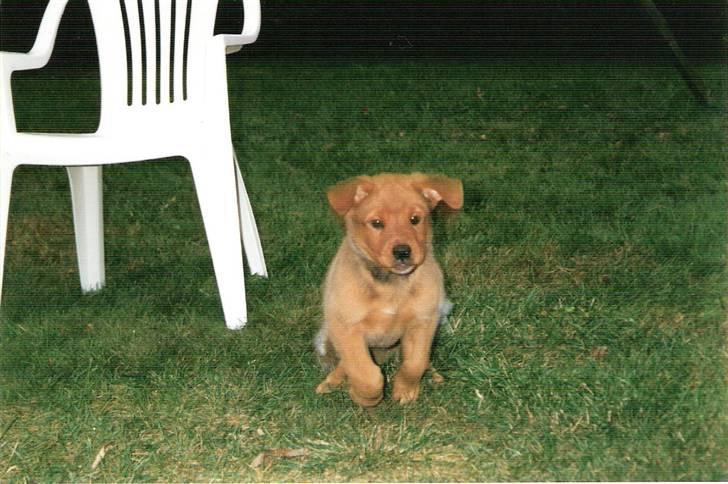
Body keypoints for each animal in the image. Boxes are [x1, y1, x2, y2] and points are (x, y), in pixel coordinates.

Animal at [312, 172, 460, 406]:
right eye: (377, 223)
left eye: (414, 219)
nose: (402, 252)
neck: (390, 284)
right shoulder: (347, 328)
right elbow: (366, 374)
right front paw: (364, 397)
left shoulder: (423, 322)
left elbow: (415, 363)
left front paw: (405, 390)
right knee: (345, 364)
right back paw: (332, 382)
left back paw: (433, 374)